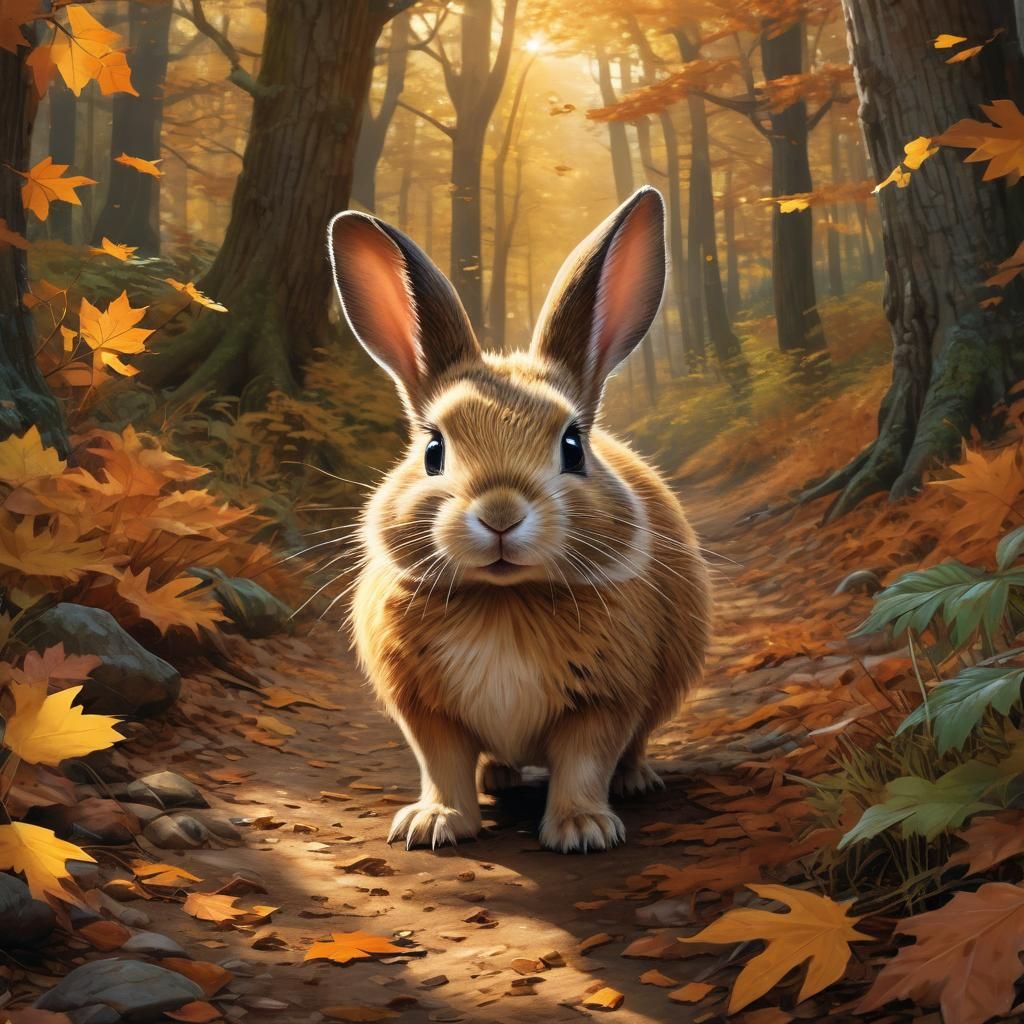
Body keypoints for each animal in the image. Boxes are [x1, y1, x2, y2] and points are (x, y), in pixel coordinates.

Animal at [327, 186, 711, 854]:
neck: (503, 601)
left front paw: (583, 830)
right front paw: (433, 823)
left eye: (573, 446)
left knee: (632, 746)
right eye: (433, 451)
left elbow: (586, 761)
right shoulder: (426, 711)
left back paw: (635, 781)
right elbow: (443, 765)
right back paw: (500, 779)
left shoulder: (606, 701)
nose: (500, 514)